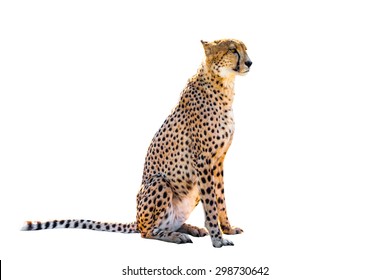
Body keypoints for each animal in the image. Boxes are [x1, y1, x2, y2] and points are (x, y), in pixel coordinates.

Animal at [21, 37, 253, 247]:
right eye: (233, 50)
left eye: (245, 49)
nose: (250, 62)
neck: (224, 85)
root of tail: (137, 219)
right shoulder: (204, 161)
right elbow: (212, 204)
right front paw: (218, 239)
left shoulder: (218, 161)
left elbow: (220, 199)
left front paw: (228, 229)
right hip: (159, 182)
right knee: (147, 232)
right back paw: (176, 236)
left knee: (168, 223)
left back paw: (190, 228)